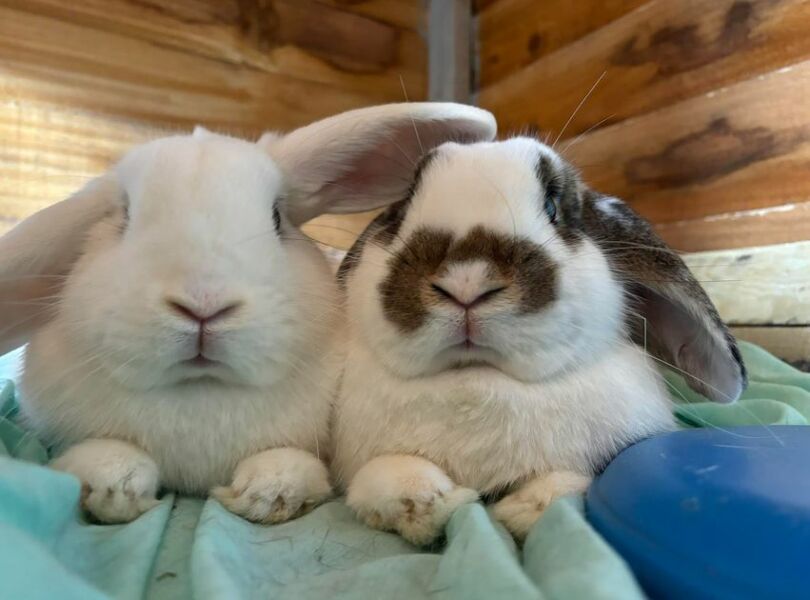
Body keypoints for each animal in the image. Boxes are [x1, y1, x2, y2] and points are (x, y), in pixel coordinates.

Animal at [0, 102, 498, 524]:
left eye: (276, 218)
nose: (204, 304)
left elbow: (285, 462)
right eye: (123, 216)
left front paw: (273, 490)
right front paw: (113, 484)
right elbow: (101, 453)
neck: (200, 392)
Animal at [331, 136, 747, 544]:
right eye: (402, 208)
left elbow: (569, 481)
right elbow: (382, 474)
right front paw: (428, 501)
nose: (466, 282)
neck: (477, 380)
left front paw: (526, 507)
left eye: (552, 206)